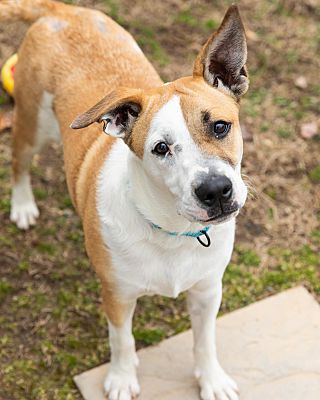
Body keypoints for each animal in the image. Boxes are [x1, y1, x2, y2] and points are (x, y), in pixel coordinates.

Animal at [0, 1, 250, 398]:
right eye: (161, 148)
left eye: (220, 126)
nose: (215, 190)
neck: (172, 231)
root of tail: (62, 12)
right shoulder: (117, 294)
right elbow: (122, 340)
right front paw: (120, 378)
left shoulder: (208, 290)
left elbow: (204, 340)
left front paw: (211, 379)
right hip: (31, 123)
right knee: (18, 162)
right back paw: (23, 205)